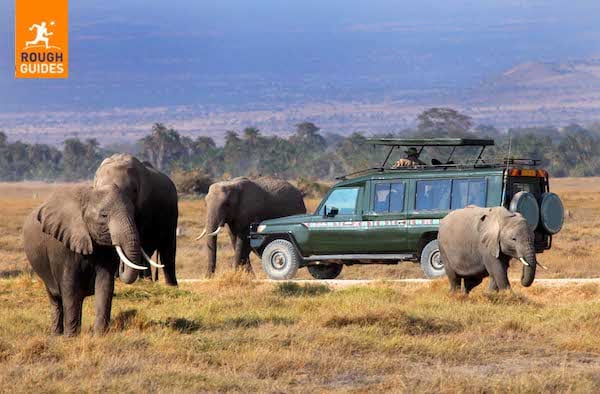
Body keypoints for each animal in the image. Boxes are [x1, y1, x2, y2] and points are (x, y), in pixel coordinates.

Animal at [24, 185, 158, 336]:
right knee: (55, 298)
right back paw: (57, 334)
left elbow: (105, 284)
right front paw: (70, 337)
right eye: (104, 216)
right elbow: (69, 287)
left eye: (134, 214)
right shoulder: (63, 246)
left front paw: (99, 335)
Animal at [94, 154, 178, 286]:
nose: (121, 270)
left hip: (172, 214)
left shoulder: (145, 206)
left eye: (134, 191)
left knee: (166, 249)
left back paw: (166, 285)